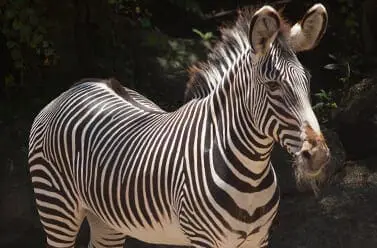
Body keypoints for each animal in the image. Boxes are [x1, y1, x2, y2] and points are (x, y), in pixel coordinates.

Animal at [28, 3, 328, 248]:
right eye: (273, 86)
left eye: (308, 81)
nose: (318, 155)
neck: (251, 174)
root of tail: (80, 85)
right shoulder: (203, 239)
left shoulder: (259, 240)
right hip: (56, 207)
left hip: (104, 218)